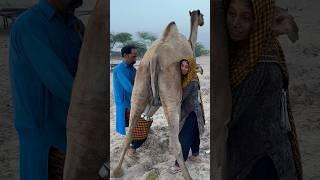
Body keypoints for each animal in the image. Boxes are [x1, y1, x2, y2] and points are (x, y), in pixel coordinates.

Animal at [112, 21, 195, 179]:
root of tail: (155, 56)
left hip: (140, 80)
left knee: (130, 130)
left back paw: (117, 171)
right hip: (170, 88)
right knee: (175, 142)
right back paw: (188, 175)